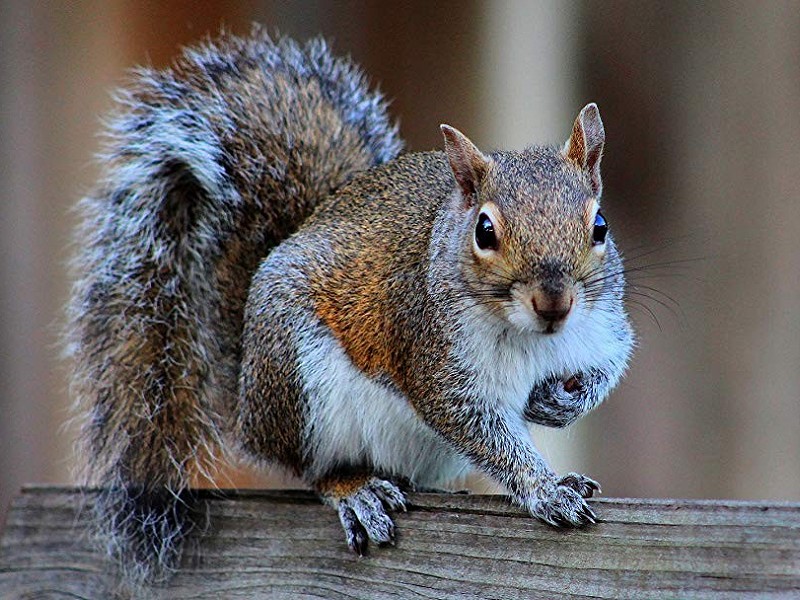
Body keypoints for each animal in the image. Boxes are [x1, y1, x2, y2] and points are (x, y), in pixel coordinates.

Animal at [66, 28, 634, 589]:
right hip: (298, 382)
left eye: (600, 225)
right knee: (312, 469)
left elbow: (608, 367)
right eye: (485, 231)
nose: (553, 302)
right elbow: (480, 430)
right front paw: (545, 488)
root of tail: (247, 396)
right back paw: (355, 490)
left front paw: (562, 403)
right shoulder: (434, 355)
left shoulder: (604, 326)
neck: (534, 336)